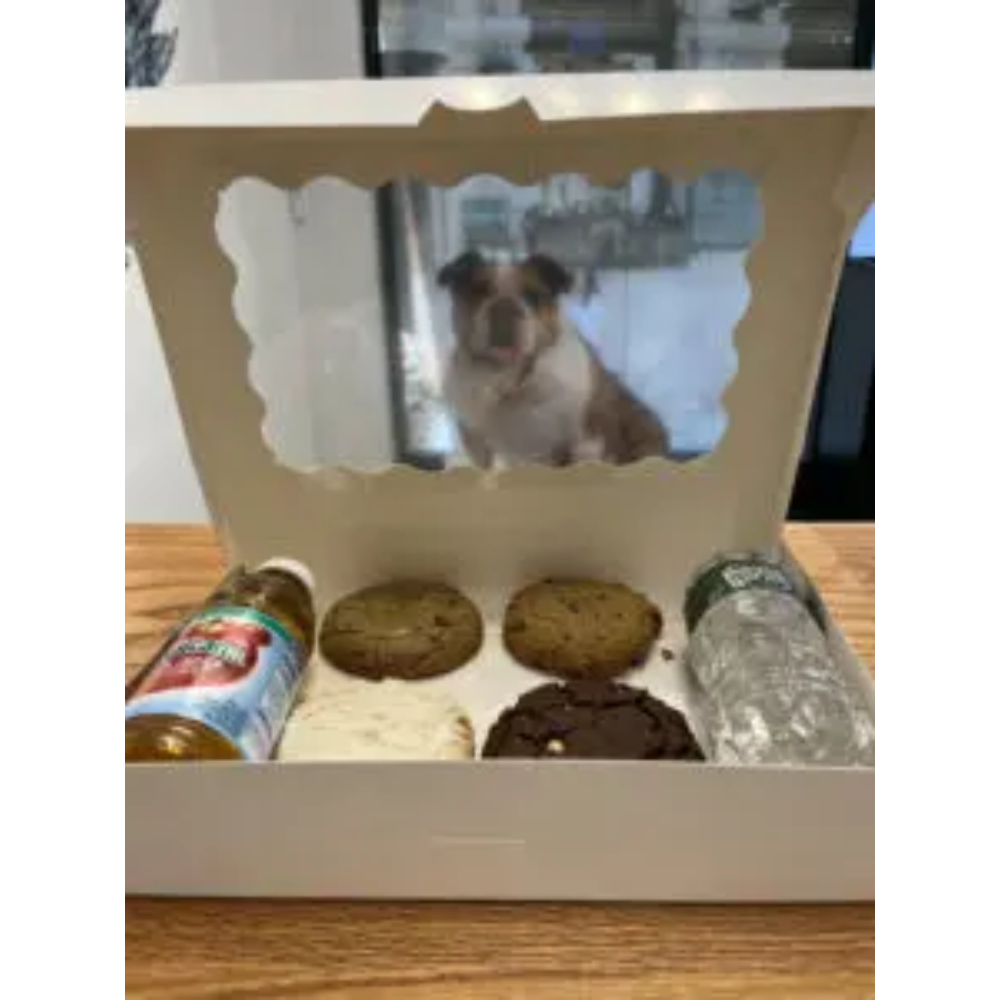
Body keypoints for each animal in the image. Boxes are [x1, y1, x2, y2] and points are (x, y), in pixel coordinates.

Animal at [440, 250, 668, 468]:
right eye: (478, 291)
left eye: (532, 296)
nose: (504, 306)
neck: (510, 377)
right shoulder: (478, 445)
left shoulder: (584, 440)